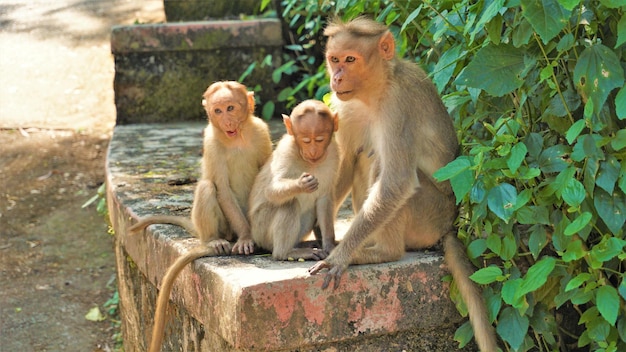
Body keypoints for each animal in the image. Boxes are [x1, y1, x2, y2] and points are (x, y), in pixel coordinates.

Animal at [127, 80, 270, 352]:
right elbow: (221, 188)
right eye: (217, 111)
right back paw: (215, 240)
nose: (226, 121)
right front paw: (247, 238)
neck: (237, 138)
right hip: (224, 227)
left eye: (230, 108)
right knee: (207, 187)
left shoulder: (261, 131)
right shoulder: (212, 141)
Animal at [249, 100, 338, 260]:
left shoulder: (334, 153)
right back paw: (286, 252)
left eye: (320, 139)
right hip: (261, 228)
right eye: (306, 140)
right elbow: (271, 190)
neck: (311, 162)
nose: (313, 151)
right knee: (289, 203)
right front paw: (301, 184)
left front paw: (329, 245)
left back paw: (300, 245)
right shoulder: (286, 150)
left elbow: (324, 199)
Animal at [308, 17, 498, 350]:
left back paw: (383, 252)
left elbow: (396, 183)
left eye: (350, 59)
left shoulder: (399, 107)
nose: (337, 77)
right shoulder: (346, 108)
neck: (377, 89)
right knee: (364, 156)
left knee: (383, 168)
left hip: (429, 216)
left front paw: (339, 256)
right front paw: (328, 239)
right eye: (334, 59)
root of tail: (449, 226)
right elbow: (343, 166)